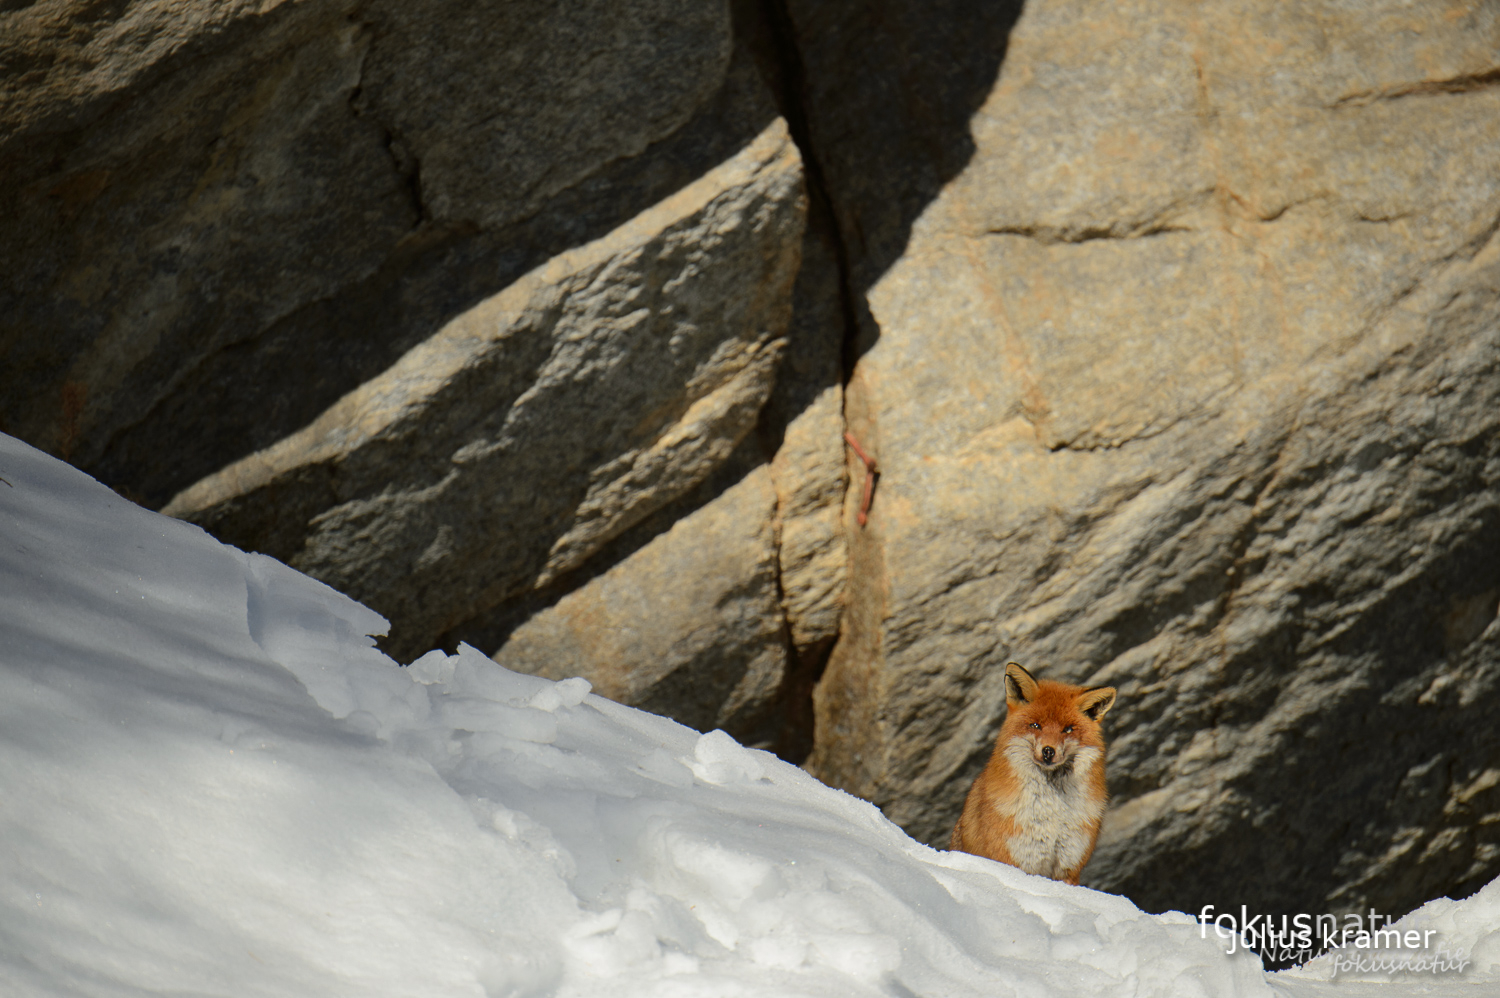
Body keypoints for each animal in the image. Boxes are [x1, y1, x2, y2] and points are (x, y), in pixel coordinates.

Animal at [948, 660, 1116, 882]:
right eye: (1036, 725)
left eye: (1068, 729)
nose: (1048, 751)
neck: (1053, 810)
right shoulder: (1012, 859)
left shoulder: (1068, 866)